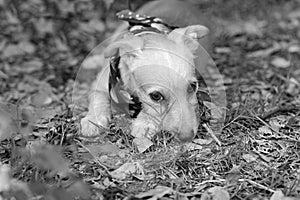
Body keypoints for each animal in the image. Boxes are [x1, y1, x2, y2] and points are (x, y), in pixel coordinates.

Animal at [81, 11, 210, 142]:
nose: (187, 137)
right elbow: (98, 100)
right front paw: (92, 120)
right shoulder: (99, 86)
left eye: (193, 86)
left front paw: (145, 123)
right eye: (156, 96)